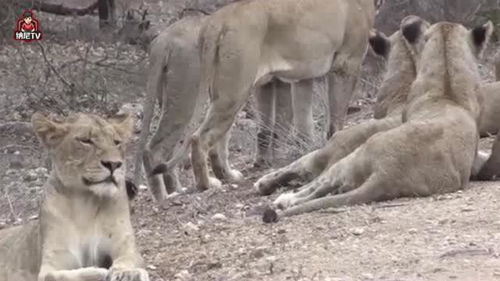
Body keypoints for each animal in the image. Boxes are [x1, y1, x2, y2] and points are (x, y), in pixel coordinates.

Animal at [0, 112, 148, 278]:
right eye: (86, 141)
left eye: (117, 142)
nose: (114, 164)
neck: (86, 203)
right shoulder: (52, 263)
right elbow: (58, 275)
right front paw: (100, 272)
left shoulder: (125, 246)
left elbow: (128, 260)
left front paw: (127, 273)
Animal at [258, 16, 492, 219]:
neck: (447, 88)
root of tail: (388, 175)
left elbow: (297, 167)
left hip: (348, 156)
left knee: (314, 182)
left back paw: (280, 196)